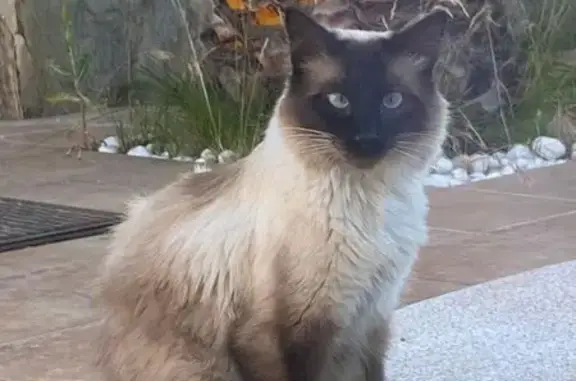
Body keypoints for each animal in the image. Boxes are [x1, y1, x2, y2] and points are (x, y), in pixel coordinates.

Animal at [94, 5, 452, 380]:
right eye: (338, 101)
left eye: (391, 101)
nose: (366, 139)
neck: (369, 202)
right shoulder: (284, 333)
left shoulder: (372, 321)